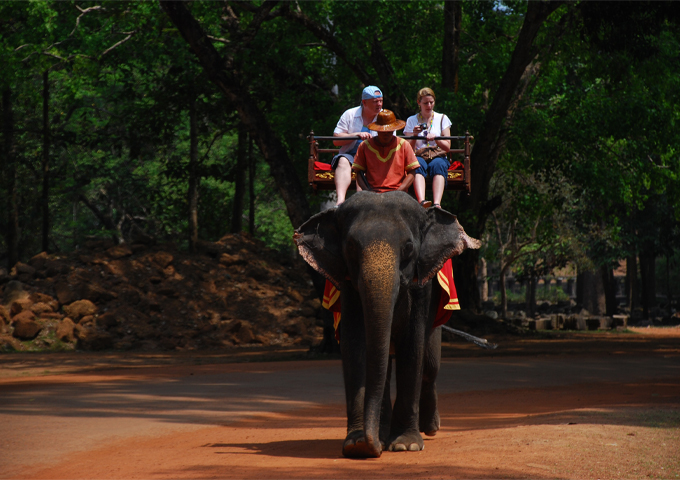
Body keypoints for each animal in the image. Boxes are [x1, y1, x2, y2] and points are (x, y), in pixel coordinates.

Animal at [294, 191, 480, 458]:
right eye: (351, 247)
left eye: (409, 247)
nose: (370, 446)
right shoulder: (349, 286)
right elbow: (355, 346)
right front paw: (356, 444)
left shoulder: (422, 286)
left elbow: (412, 346)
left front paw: (405, 445)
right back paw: (383, 434)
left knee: (430, 365)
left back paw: (429, 428)